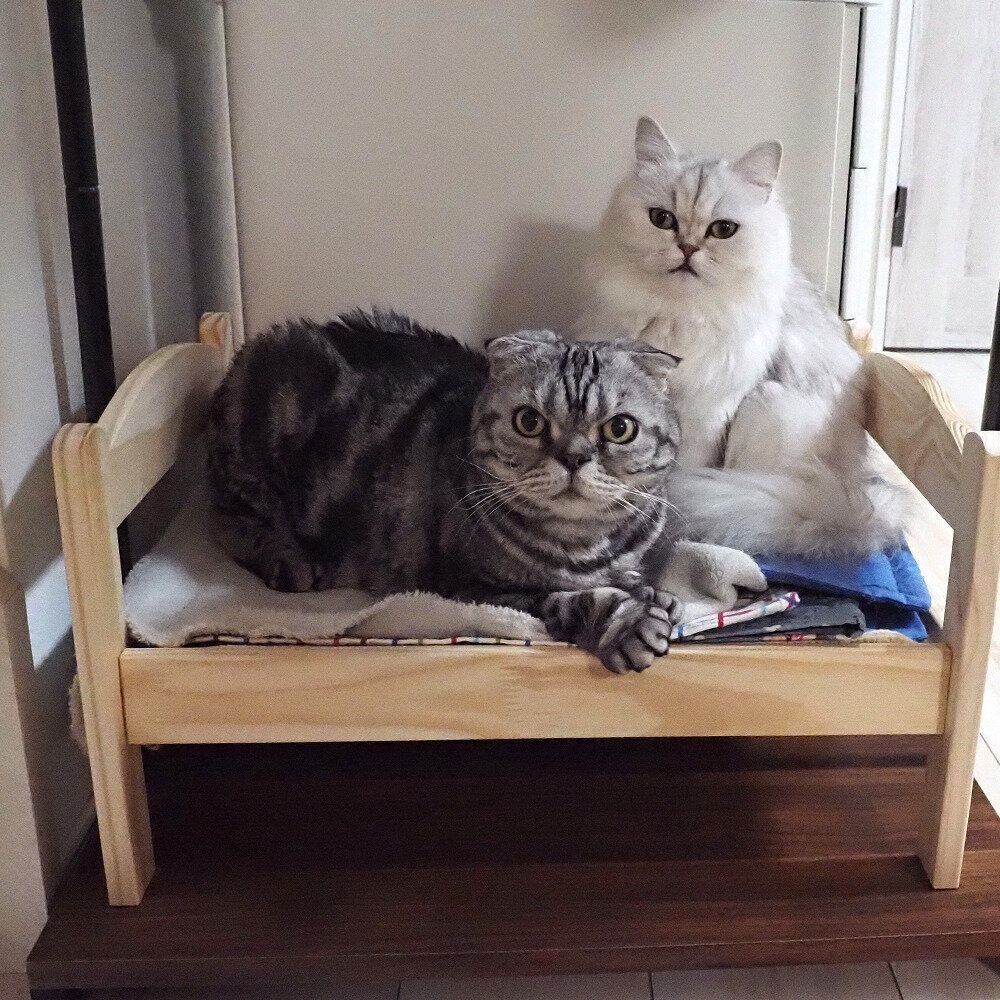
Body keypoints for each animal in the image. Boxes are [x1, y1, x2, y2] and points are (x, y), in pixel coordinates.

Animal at [205, 310, 685, 672]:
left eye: (620, 429)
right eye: (529, 422)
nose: (573, 458)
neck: (583, 546)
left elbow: (630, 579)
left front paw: (654, 595)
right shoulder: (471, 589)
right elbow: (574, 599)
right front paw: (631, 621)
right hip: (268, 427)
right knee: (234, 521)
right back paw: (288, 559)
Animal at [574, 116, 905, 556]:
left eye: (723, 230)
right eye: (661, 220)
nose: (687, 248)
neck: (680, 318)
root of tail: (852, 501)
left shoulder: (707, 415)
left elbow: (682, 472)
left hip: (768, 405)